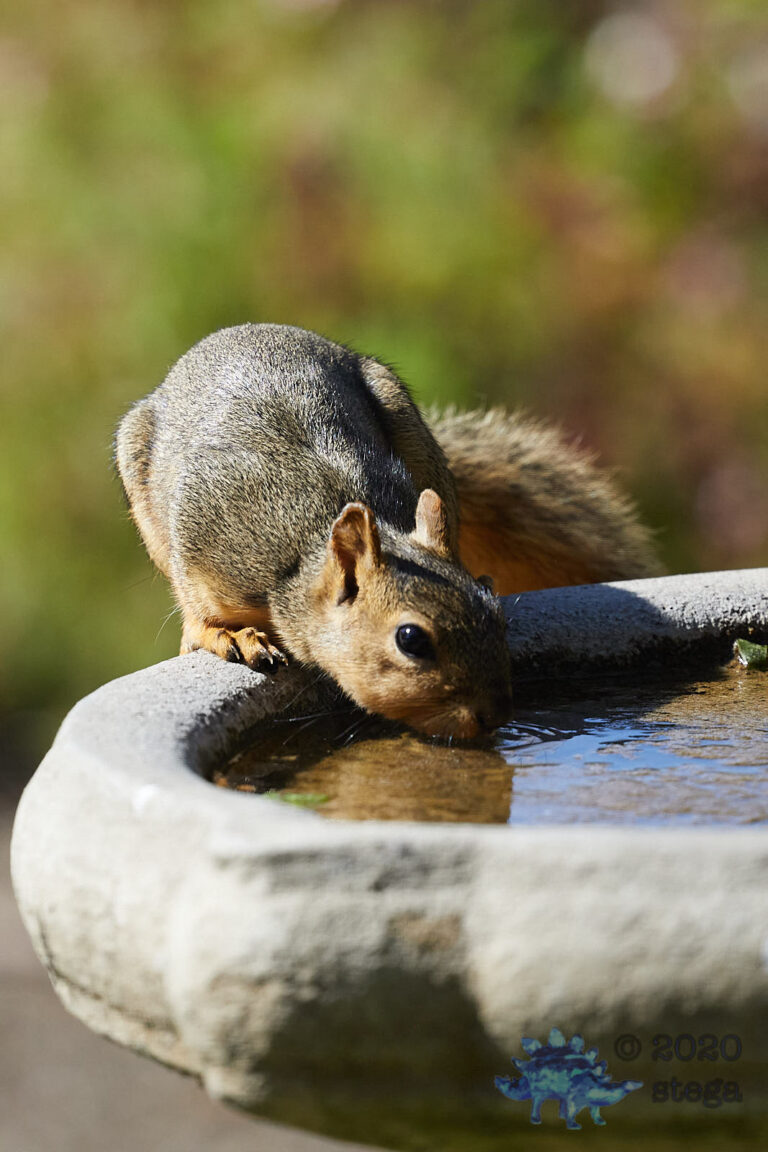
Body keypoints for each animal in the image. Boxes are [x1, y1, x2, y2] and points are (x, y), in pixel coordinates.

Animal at [115, 323, 659, 740]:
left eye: (496, 609)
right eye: (410, 640)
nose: (496, 717)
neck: (304, 559)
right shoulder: (206, 541)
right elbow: (196, 607)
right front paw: (224, 635)